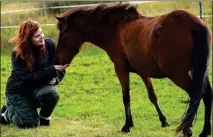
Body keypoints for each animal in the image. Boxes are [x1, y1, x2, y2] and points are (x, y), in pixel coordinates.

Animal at [55, 3, 211, 137]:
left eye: (62, 35)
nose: (58, 62)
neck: (116, 28)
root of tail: (194, 24)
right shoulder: (143, 73)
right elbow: (152, 96)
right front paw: (163, 120)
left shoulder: (120, 69)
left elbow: (126, 97)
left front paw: (127, 125)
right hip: (199, 71)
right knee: (207, 93)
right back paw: (205, 131)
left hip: (178, 74)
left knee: (196, 95)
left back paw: (188, 129)